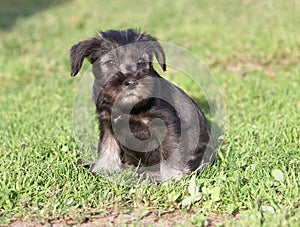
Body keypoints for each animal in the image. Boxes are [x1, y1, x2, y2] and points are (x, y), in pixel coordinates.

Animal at [70, 28, 216, 181]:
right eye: (110, 62)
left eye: (141, 62)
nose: (131, 82)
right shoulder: (107, 124)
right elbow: (107, 148)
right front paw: (103, 168)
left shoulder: (167, 125)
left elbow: (170, 153)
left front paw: (171, 178)